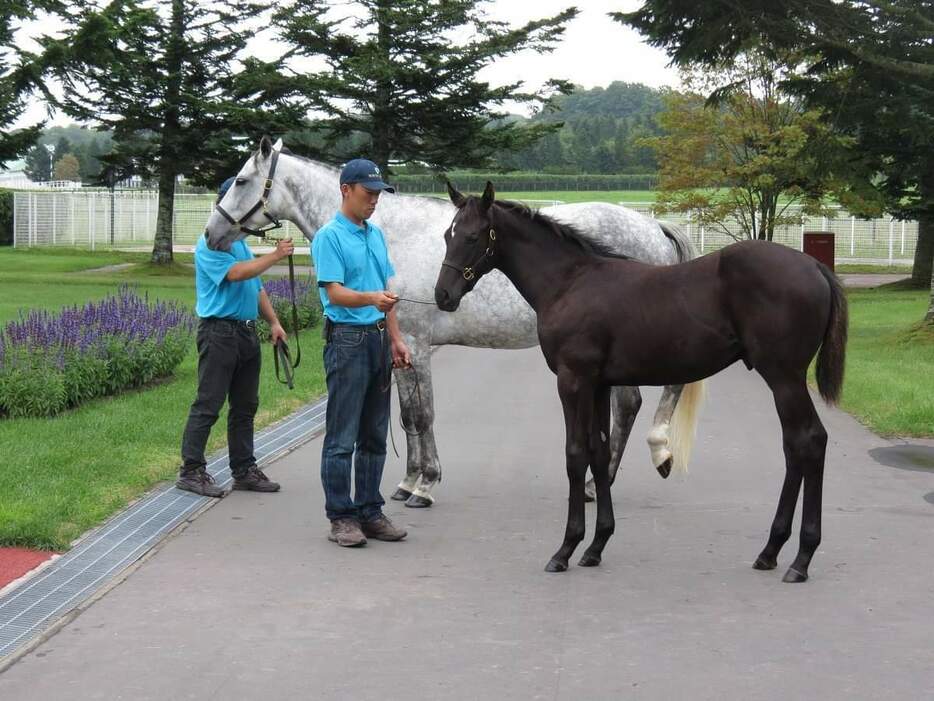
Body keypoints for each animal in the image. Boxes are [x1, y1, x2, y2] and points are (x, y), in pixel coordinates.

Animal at [203, 137, 704, 506]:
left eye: (242, 180)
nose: (212, 233)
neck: (390, 234)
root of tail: (653, 228)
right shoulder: (398, 346)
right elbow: (408, 416)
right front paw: (407, 483)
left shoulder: (418, 344)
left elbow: (423, 414)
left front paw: (426, 485)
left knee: (646, 398)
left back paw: (632, 465)